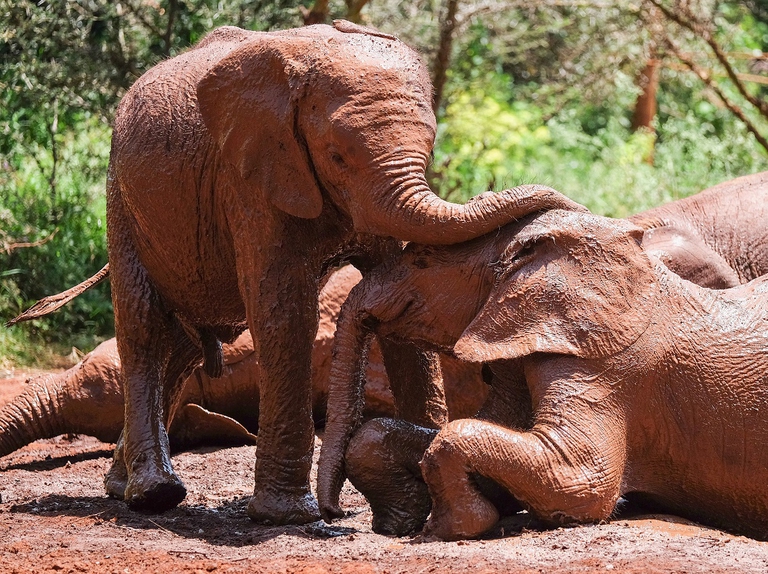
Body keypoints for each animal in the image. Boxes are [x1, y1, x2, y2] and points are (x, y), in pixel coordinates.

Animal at [95, 19, 580, 522]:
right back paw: (153, 493)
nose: (338, 512)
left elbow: (399, 285)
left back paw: (121, 484)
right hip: (121, 201)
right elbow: (286, 314)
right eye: (336, 155)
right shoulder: (250, 177)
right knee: (145, 330)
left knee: (188, 346)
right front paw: (288, 515)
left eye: (429, 148)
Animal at [317, 209, 768, 540]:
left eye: (420, 260)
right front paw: (401, 517)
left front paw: (444, 527)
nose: (334, 514)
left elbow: (580, 481)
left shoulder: (606, 366)